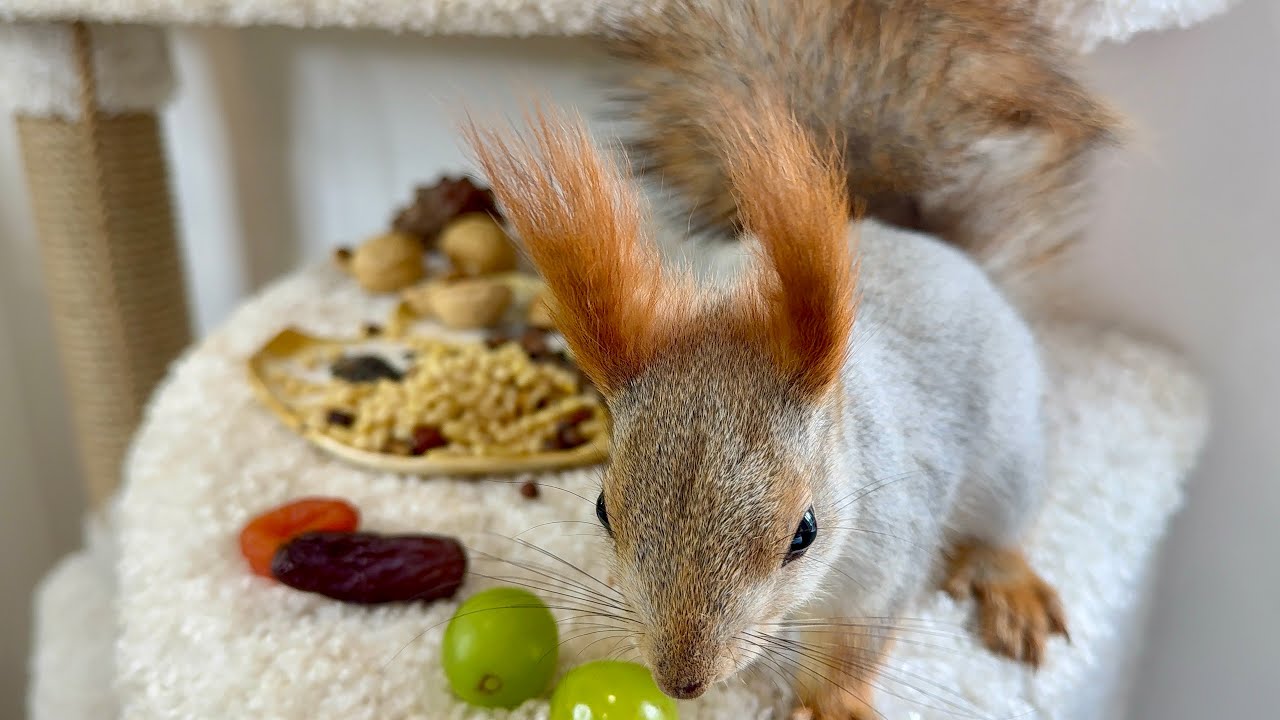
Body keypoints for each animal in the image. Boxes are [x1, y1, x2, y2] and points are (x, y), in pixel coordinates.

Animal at [464, 0, 1115, 717]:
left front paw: (835, 704)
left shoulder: (887, 555)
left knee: (1004, 530)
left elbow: (854, 645)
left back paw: (1010, 588)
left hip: (1011, 461)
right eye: (604, 509)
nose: (682, 681)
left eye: (805, 532)